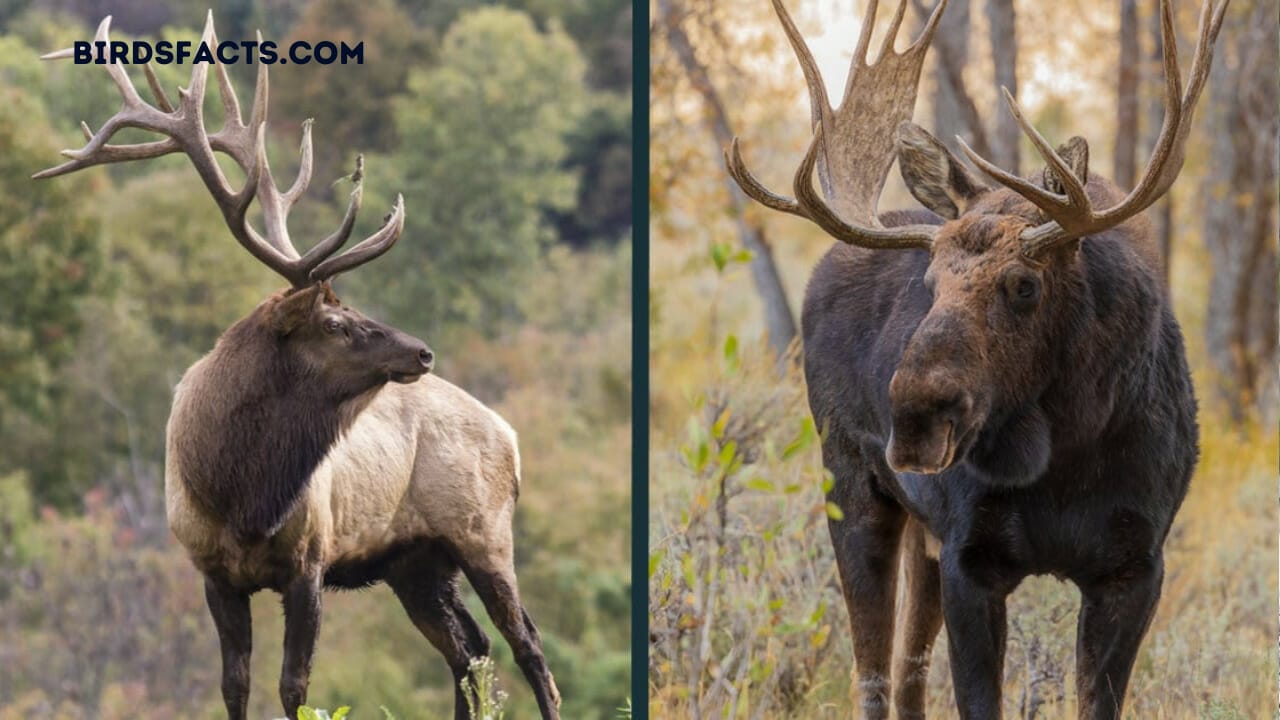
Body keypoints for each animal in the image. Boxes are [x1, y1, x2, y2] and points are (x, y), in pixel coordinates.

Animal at [34, 14, 561, 720]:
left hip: (482, 531)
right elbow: (235, 684)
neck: (241, 495)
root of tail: (511, 436)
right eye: (335, 323)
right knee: (470, 651)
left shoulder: (309, 562)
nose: (421, 350)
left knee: (526, 643)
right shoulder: (213, 572)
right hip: (415, 563)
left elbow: (295, 687)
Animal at [726, 0, 1226, 717]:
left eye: (1024, 284)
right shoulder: (970, 556)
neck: (1063, 456)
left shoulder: (1136, 565)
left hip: (920, 533)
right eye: (930, 282)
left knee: (907, 670)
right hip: (850, 485)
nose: (914, 417)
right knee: (873, 673)